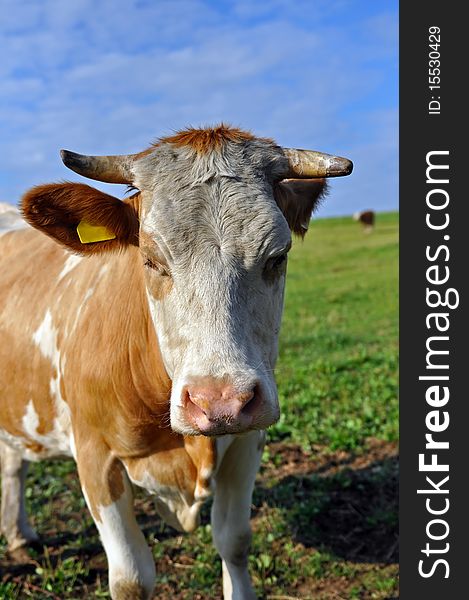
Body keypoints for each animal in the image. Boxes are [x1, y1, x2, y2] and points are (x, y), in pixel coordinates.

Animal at [0, 124, 352, 596]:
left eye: (277, 257)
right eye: (150, 259)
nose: (219, 403)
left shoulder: (248, 442)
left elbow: (234, 541)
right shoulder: (95, 456)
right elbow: (131, 577)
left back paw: (20, 534)